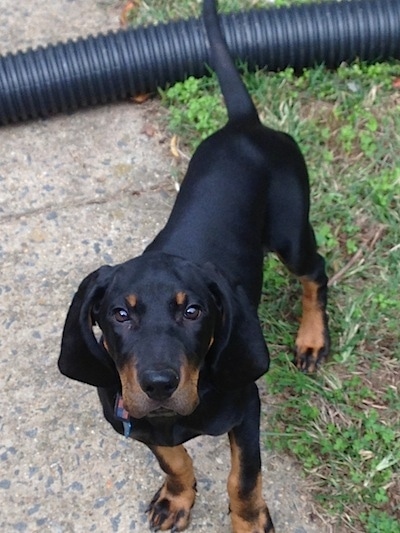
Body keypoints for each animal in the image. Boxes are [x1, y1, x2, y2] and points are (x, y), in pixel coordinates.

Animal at [57, 1, 330, 528]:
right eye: (119, 314)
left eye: (193, 311)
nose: (160, 384)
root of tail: (245, 125)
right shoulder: (136, 420)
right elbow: (173, 457)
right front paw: (177, 498)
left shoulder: (247, 407)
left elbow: (243, 477)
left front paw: (249, 521)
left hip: (290, 233)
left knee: (316, 271)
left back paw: (312, 338)